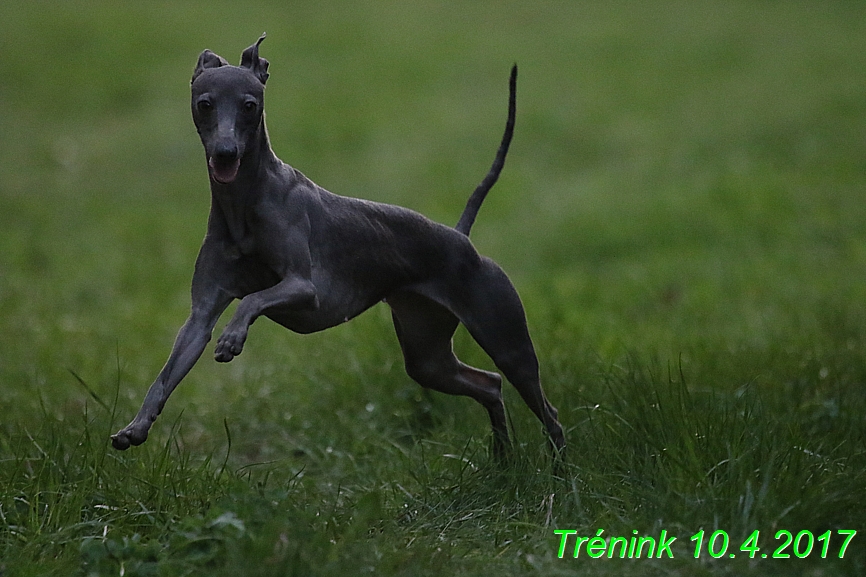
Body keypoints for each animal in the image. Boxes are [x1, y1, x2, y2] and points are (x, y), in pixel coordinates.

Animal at [108, 37, 564, 460]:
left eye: (250, 105)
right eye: (205, 104)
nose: (225, 153)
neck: (243, 204)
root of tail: (461, 238)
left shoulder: (305, 289)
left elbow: (253, 299)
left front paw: (232, 338)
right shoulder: (201, 314)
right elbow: (167, 373)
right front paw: (135, 427)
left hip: (507, 341)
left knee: (546, 409)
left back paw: (557, 470)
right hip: (427, 356)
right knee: (489, 385)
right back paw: (502, 457)